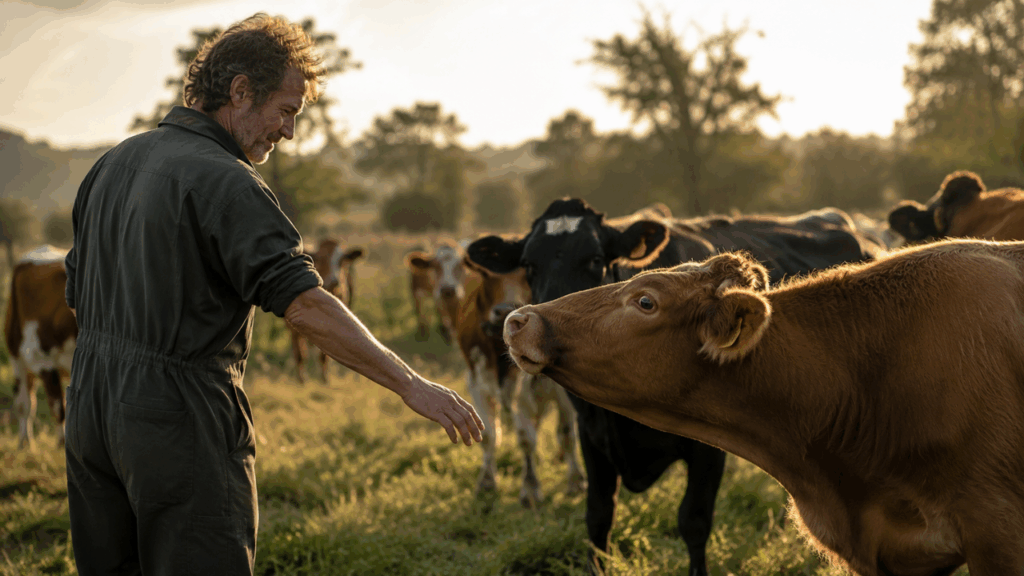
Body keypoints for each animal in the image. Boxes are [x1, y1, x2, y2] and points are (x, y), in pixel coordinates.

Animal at [289, 238, 363, 383]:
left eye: (342, 261)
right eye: (321, 259)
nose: (335, 281)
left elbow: (324, 356)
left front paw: (324, 378)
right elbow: (300, 354)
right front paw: (302, 379)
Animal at [456, 255, 584, 508]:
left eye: (528, 274)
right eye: (485, 274)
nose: (506, 310)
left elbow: (559, 434)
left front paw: (536, 487)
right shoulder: (476, 381)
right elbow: (489, 435)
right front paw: (487, 482)